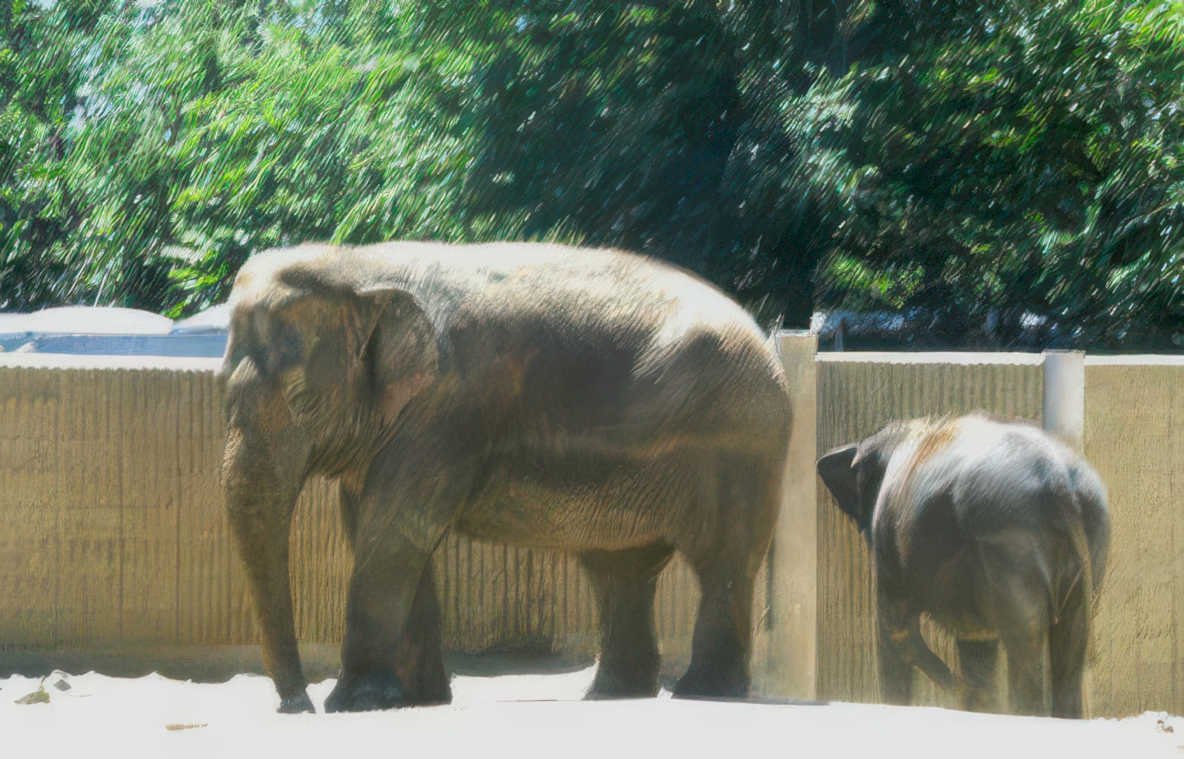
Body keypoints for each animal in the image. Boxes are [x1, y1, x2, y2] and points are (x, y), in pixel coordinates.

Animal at [218, 241, 793, 713]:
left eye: (301, 398)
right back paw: (613, 695)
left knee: (721, 562)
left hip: (739, 442)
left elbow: (395, 530)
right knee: (618, 569)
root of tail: (767, 340)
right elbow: (377, 530)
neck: (356, 265)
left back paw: (703, 691)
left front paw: (354, 704)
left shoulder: (446, 410)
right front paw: (417, 701)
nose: (298, 706)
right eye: (222, 389)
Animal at [816, 413, 1109, 717]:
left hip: (1010, 539)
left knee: (1026, 638)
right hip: (1090, 541)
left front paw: (961, 692)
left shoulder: (888, 541)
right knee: (1072, 640)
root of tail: (1059, 480)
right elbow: (974, 643)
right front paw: (973, 696)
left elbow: (896, 630)